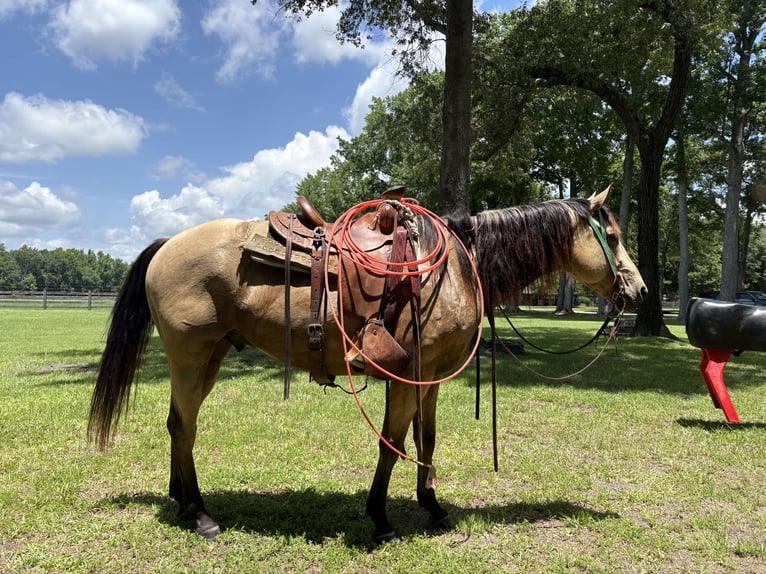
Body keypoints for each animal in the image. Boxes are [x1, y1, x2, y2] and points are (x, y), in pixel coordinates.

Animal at [88, 188, 646, 542]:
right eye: (615, 236)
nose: (640, 290)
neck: (457, 269)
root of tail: (168, 244)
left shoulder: (431, 377)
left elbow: (426, 439)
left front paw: (433, 507)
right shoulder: (408, 372)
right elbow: (391, 442)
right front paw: (380, 517)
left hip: (210, 355)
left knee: (177, 424)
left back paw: (182, 499)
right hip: (190, 354)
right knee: (184, 426)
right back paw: (201, 514)